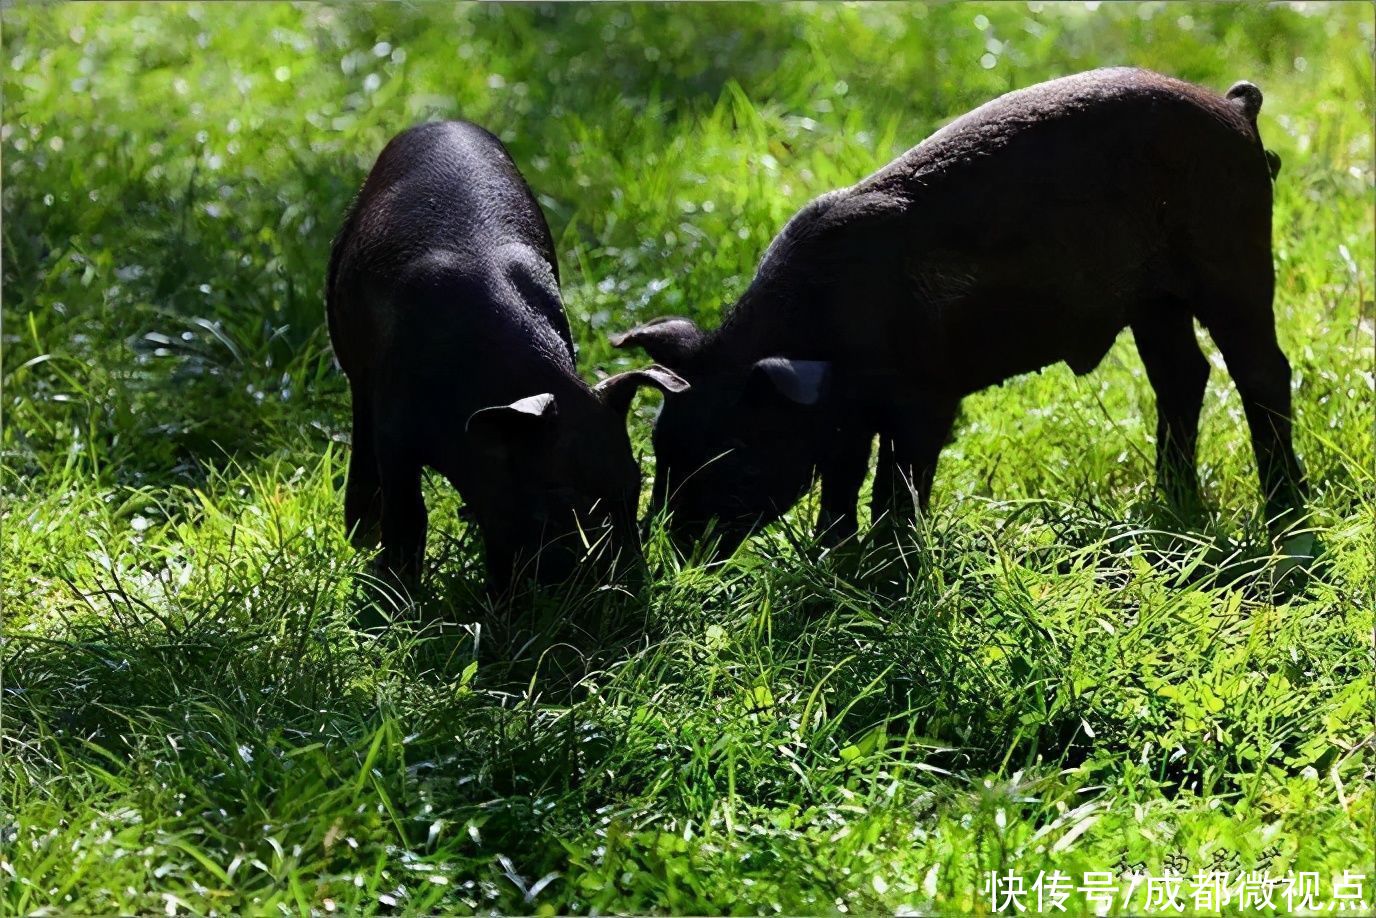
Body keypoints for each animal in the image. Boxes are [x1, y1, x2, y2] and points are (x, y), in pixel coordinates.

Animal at [323, 120, 688, 589]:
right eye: (563, 501)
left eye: (636, 484)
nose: (634, 587)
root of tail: (438, 121)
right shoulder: (395, 434)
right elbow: (408, 516)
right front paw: (393, 592)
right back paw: (361, 533)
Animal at [616, 68, 1309, 556]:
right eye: (662, 451)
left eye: (731, 452)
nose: (674, 551)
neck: (824, 329)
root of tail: (1237, 109)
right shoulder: (847, 419)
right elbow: (841, 486)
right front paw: (834, 560)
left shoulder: (926, 398)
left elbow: (895, 488)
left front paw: (888, 571)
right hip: (1153, 301)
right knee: (1183, 374)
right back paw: (1172, 503)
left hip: (1235, 261)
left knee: (1263, 372)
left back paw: (1285, 519)